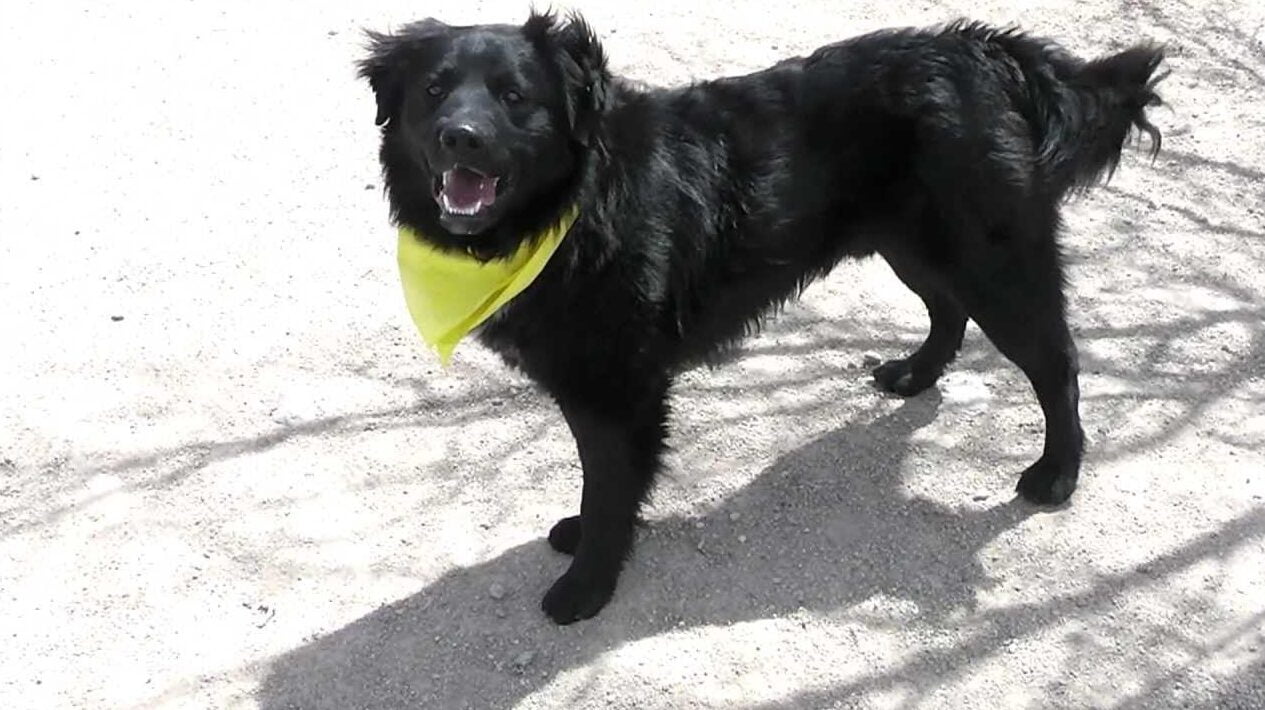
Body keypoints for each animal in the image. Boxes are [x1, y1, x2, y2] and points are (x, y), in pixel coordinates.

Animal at [356, 9, 1163, 620]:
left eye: (515, 97)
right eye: (434, 90)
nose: (459, 136)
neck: (573, 205)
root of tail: (986, 52)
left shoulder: (618, 390)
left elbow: (611, 484)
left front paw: (588, 581)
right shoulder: (598, 386)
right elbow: (602, 478)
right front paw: (584, 539)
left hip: (992, 260)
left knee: (1055, 362)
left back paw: (1057, 472)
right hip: (911, 244)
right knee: (947, 310)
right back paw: (916, 374)